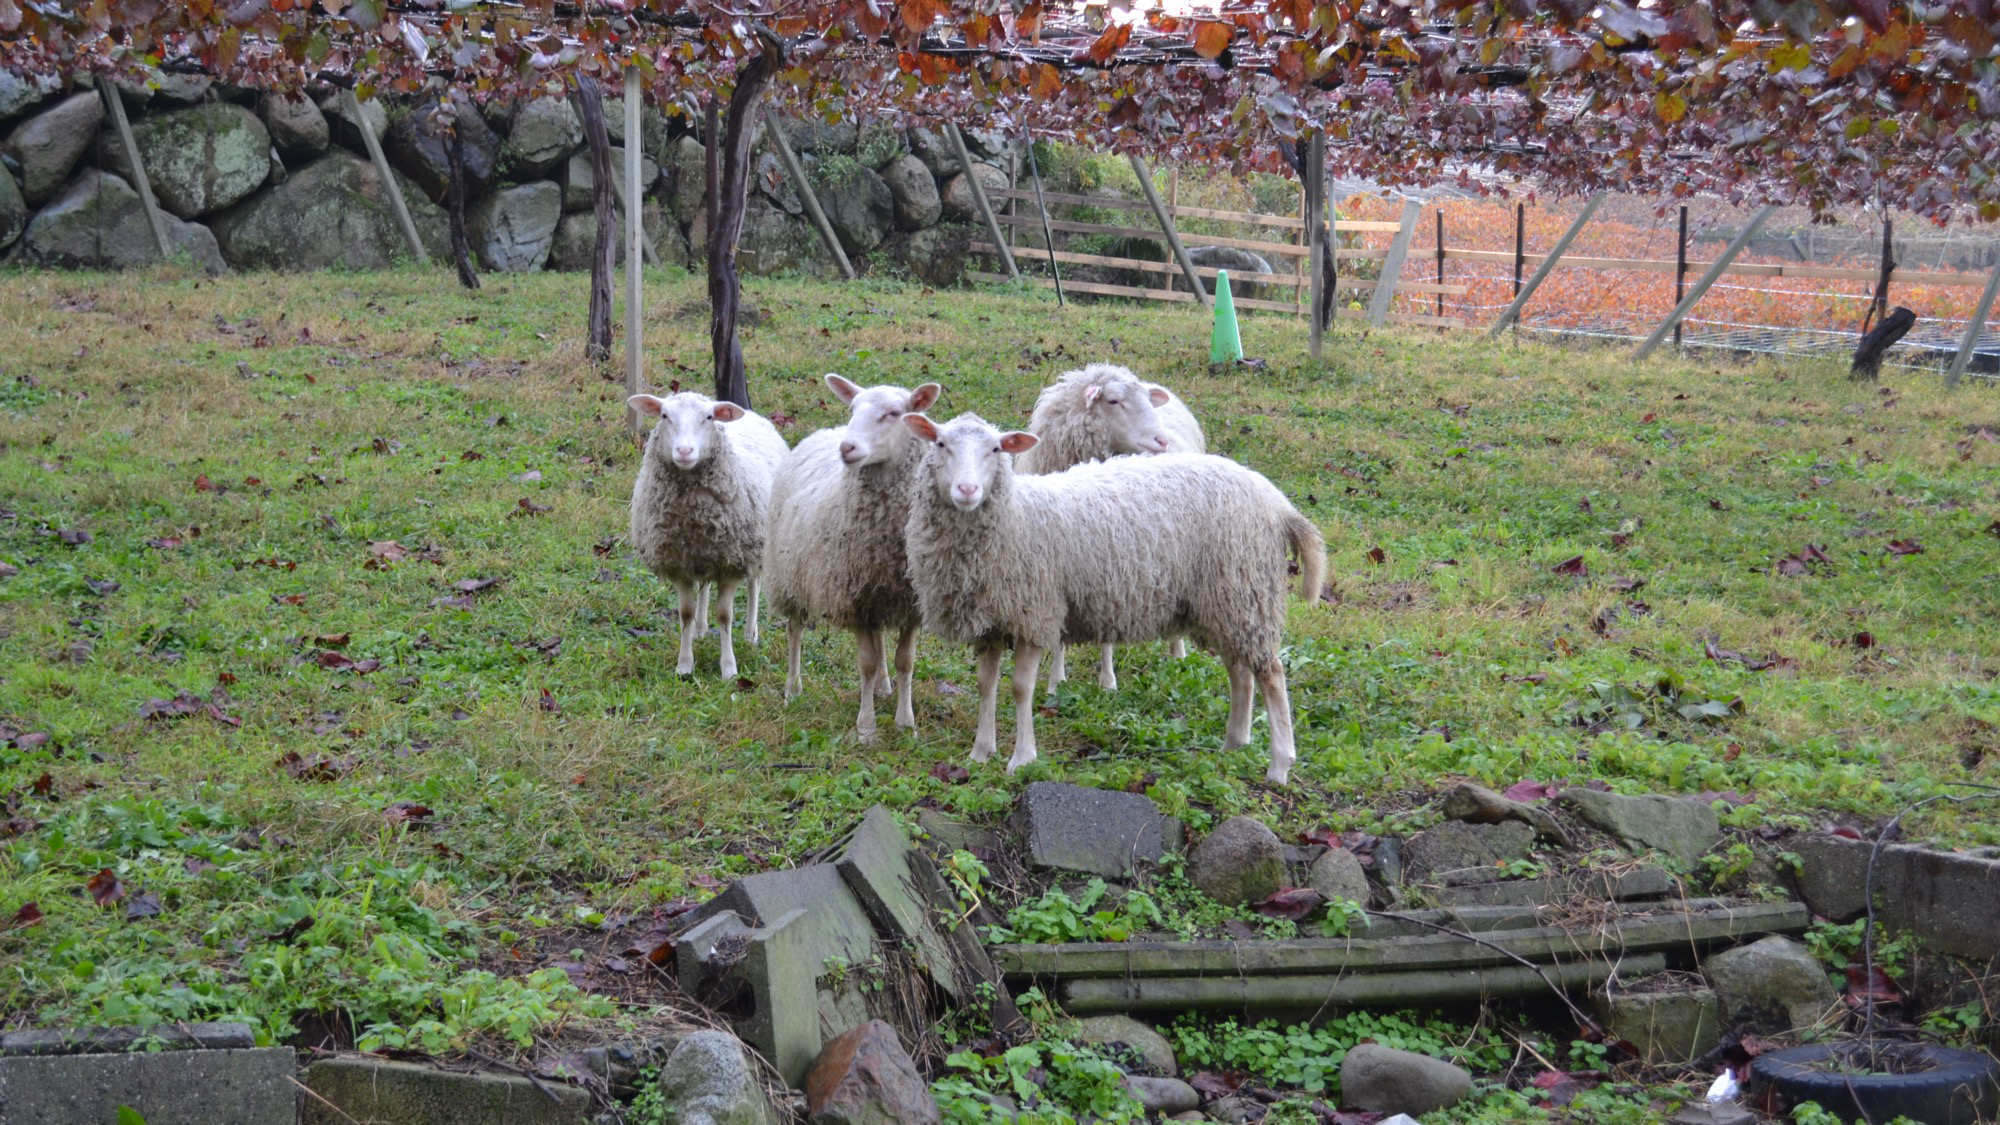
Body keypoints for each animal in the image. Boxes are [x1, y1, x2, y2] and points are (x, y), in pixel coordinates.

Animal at [628, 390, 784, 672]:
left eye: (709, 417)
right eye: (664, 415)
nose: (684, 451)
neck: (693, 517)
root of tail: (748, 412)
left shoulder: (732, 564)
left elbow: (725, 615)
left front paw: (729, 667)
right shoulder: (680, 564)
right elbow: (685, 613)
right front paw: (684, 664)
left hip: (757, 543)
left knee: (754, 584)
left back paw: (750, 633)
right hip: (704, 555)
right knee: (704, 587)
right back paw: (700, 629)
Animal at [760, 372, 940, 740]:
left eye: (894, 413)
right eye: (853, 409)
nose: (847, 448)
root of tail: (824, 432)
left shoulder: (909, 600)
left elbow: (905, 661)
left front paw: (905, 722)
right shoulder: (853, 600)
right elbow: (866, 663)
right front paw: (866, 727)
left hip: (877, 593)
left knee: (881, 639)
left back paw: (884, 687)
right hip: (790, 576)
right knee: (794, 630)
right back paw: (793, 689)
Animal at [908, 410, 1328, 780]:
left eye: (996, 450)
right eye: (941, 444)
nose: (967, 490)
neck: (1017, 517)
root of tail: (1277, 503)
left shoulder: (1035, 614)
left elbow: (1020, 688)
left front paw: (1022, 758)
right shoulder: (990, 623)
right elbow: (986, 684)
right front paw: (980, 752)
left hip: (1245, 589)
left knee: (1271, 675)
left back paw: (1279, 764)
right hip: (1225, 601)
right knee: (1241, 672)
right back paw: (1234, 743)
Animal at [1016, 364, 1200, 688]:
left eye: (1147, 401)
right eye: (1113, 401)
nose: (1162, 440)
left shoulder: (1112, 562)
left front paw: (1107, 681)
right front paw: (1056, 682)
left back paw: (1178, 655)